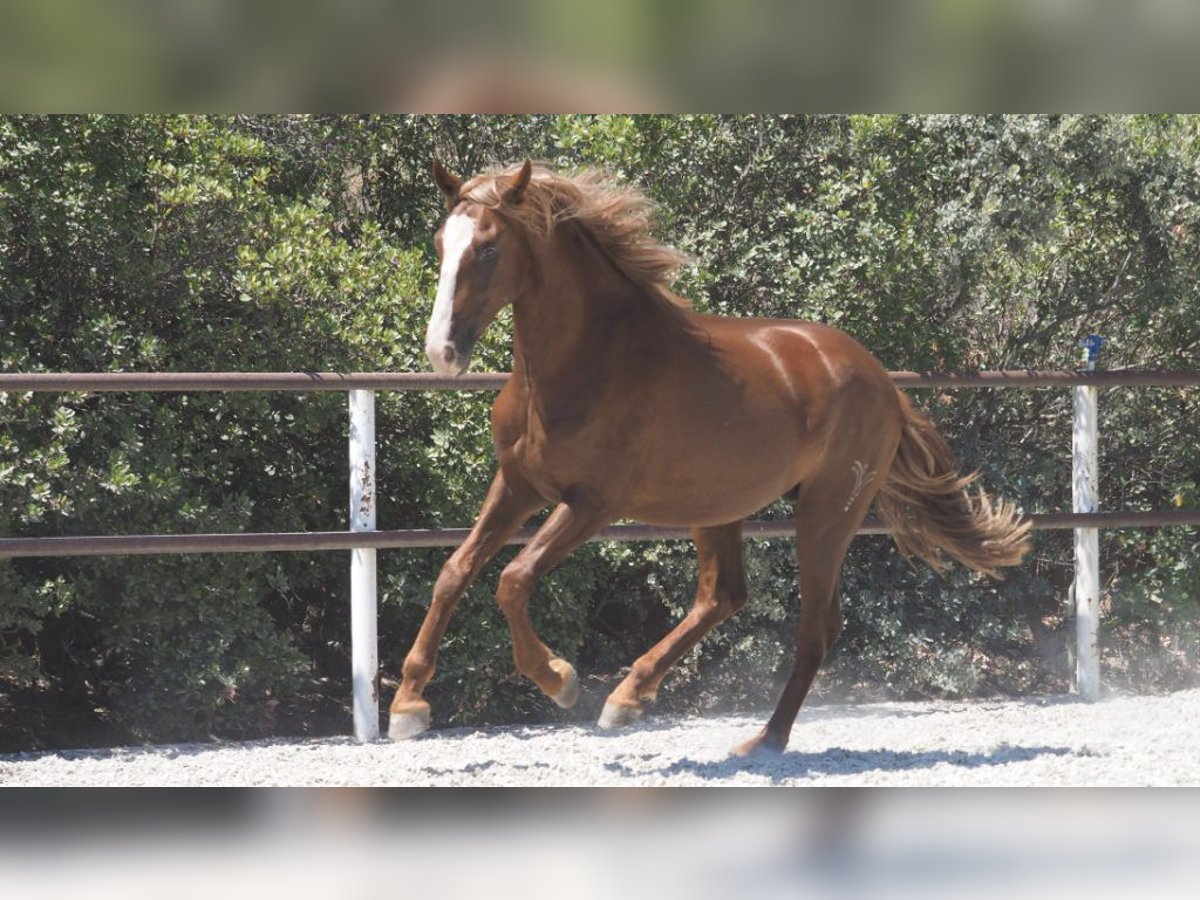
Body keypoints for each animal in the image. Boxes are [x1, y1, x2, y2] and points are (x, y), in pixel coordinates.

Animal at [388, 160, 1027, 753]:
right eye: (442, 244)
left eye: (489, 248)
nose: (442, 352)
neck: (587, 361)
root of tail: (883, 382)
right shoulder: (517, 486)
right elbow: (455, 572)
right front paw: (408, 705)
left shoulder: (592, 504)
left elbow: (513, 579)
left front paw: (558, 678)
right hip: (718, 506)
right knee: (724, 597)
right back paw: (630, 697)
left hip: (826, 514)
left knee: (815, 626)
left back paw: (762, 740)